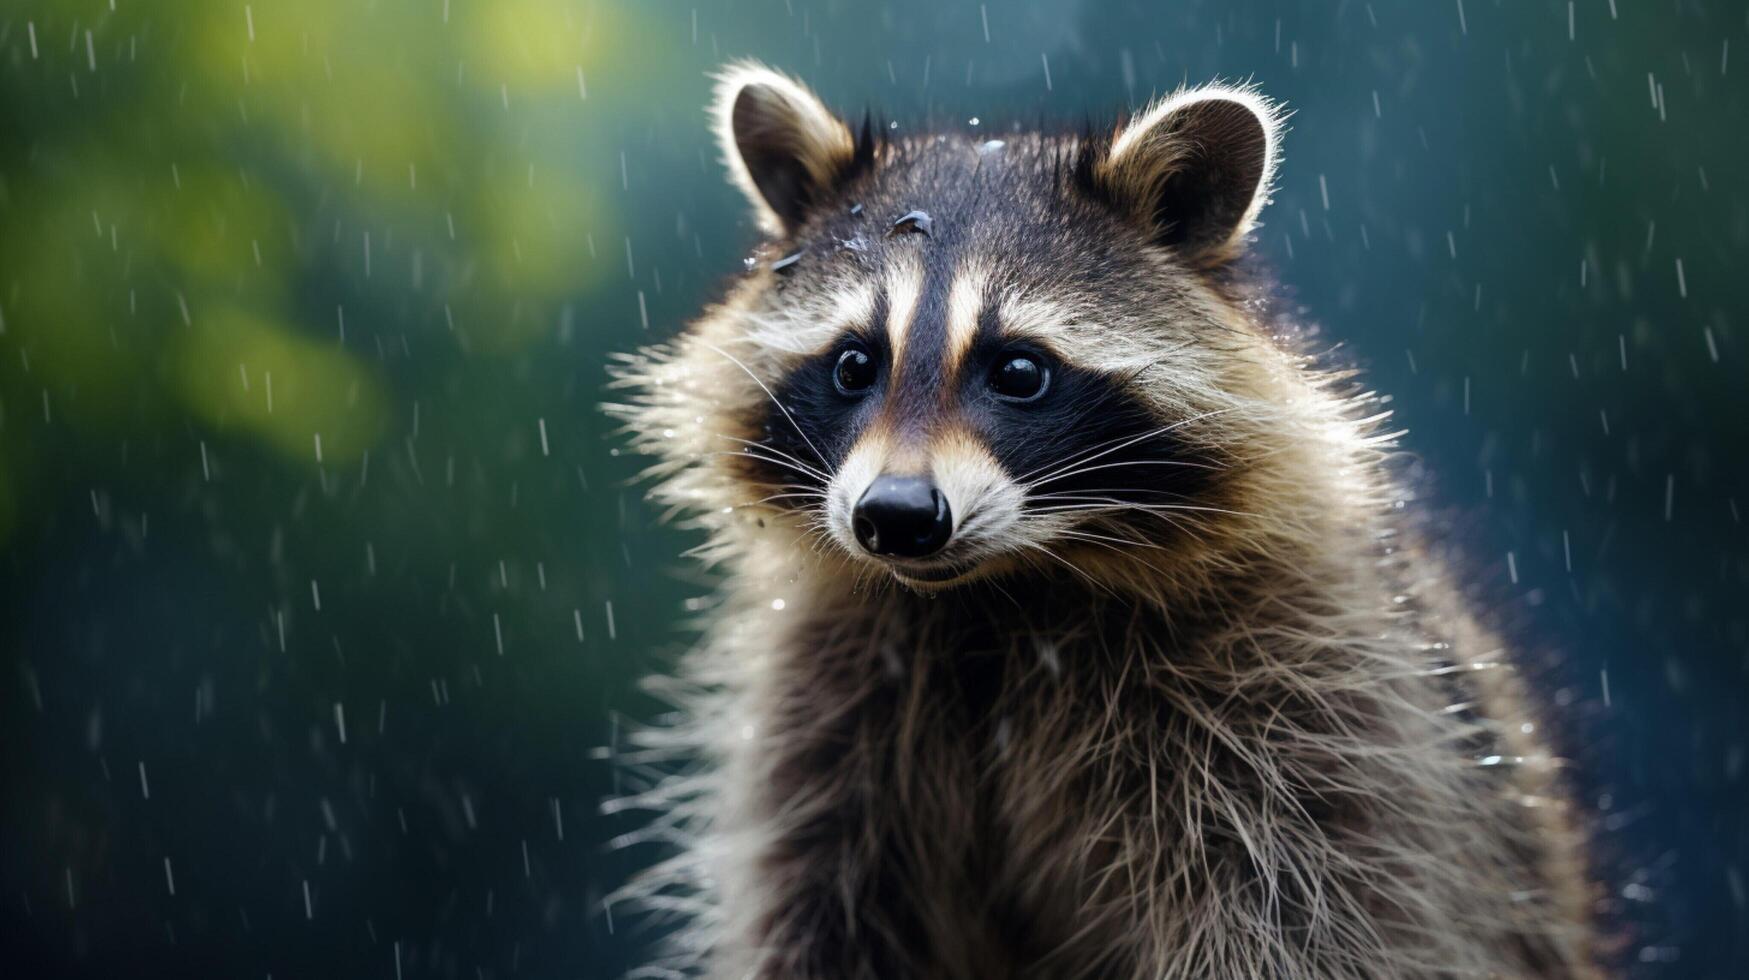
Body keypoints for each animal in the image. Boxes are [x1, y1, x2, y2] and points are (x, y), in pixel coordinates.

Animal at [612, 63, 1602, 980]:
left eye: (1018, 371)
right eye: (854, 364)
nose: (895, 517)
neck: (998, 593)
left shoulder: (1310, 704)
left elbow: (1302, 917)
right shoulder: (826, 710)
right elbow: (820, 908)